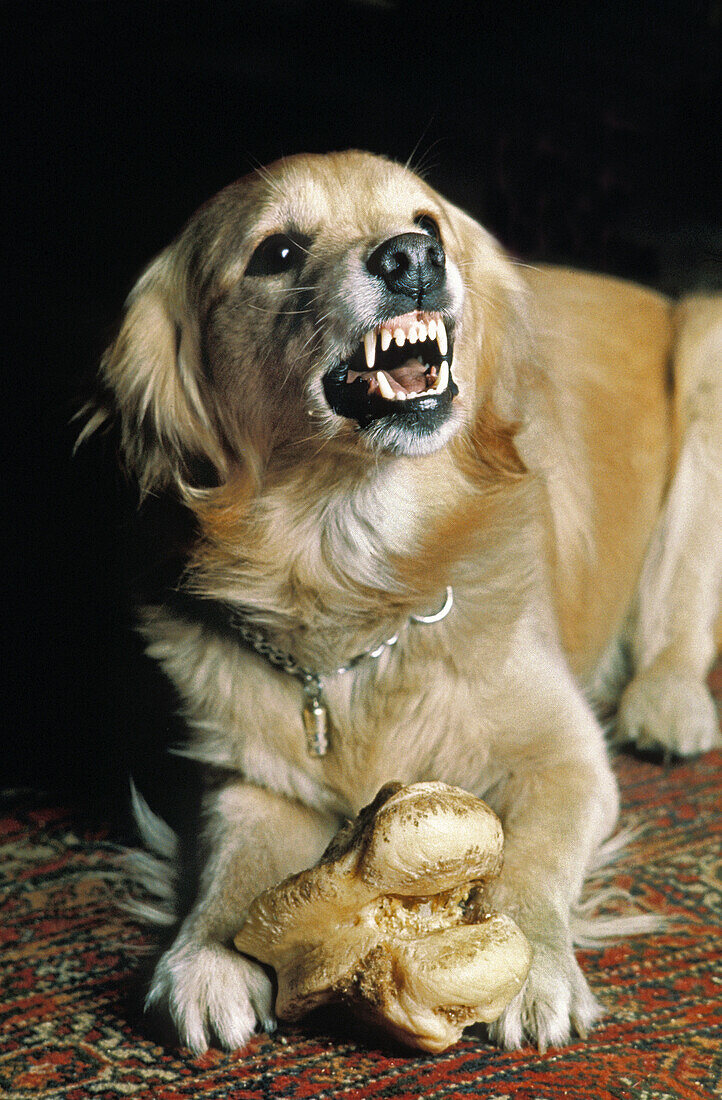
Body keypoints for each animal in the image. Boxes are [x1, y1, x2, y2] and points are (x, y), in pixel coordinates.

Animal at [81, 150, 717, 1051]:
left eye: (425, 221)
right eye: (276, 252)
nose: (413, 258)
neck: (357, 566)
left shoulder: (564, 755)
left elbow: (532, 857)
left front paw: (533, 967)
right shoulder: (247, 771)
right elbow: (235, 857)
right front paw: (206, 956)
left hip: (707, 350)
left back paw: (668, 703)